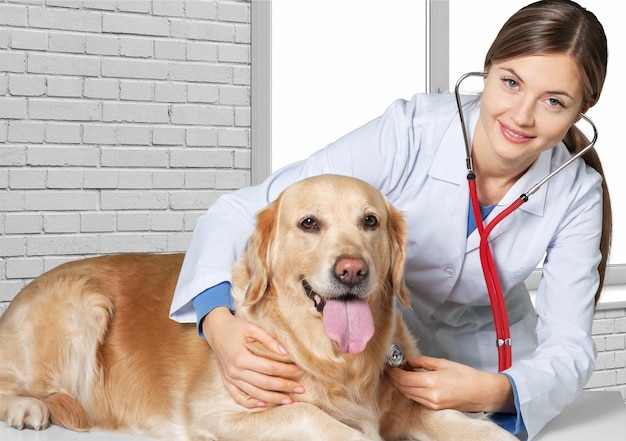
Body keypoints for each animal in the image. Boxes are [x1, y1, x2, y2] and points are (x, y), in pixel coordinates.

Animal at [0, 174, 516, 438]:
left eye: (370, 221)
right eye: (309, 223)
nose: (352, 270)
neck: (337, 362)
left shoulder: (410, 401)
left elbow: (470, 425)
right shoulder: (220, 413)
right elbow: (323, 421)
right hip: (83, 304)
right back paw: (28, 409)